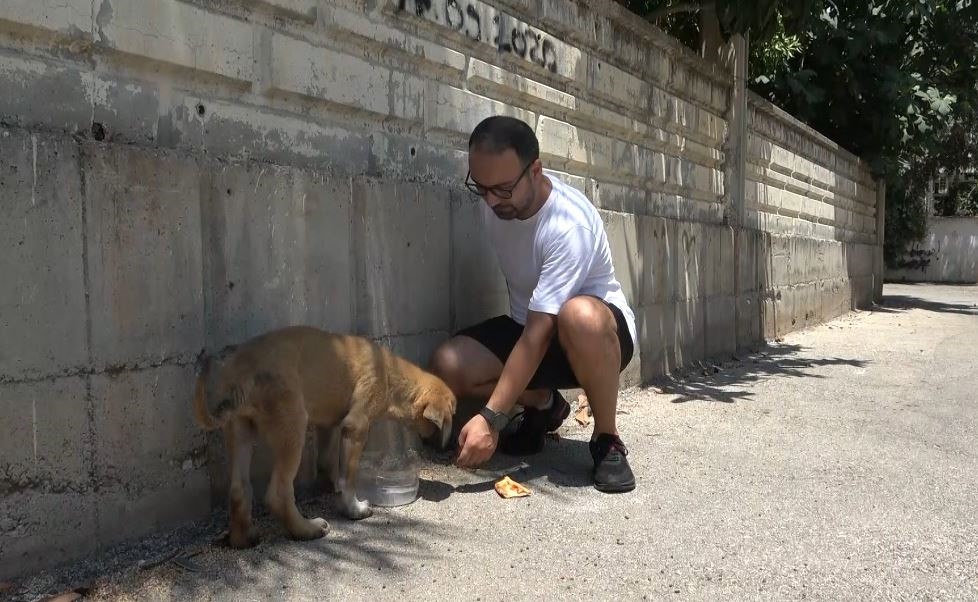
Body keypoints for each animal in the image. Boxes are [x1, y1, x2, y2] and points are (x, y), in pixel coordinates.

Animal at [192, 326, 458, 548]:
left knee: (239, 490)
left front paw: (332, 487)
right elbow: (349, 476)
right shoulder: (356, 426)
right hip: (293, 426)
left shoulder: (329, 425)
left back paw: (242, 538)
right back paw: (308, 529)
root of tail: (240, 368)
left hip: (239, 430)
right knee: (279, 493)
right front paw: (353, 508)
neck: (390, 372)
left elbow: (327, 462)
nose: (447, 448)